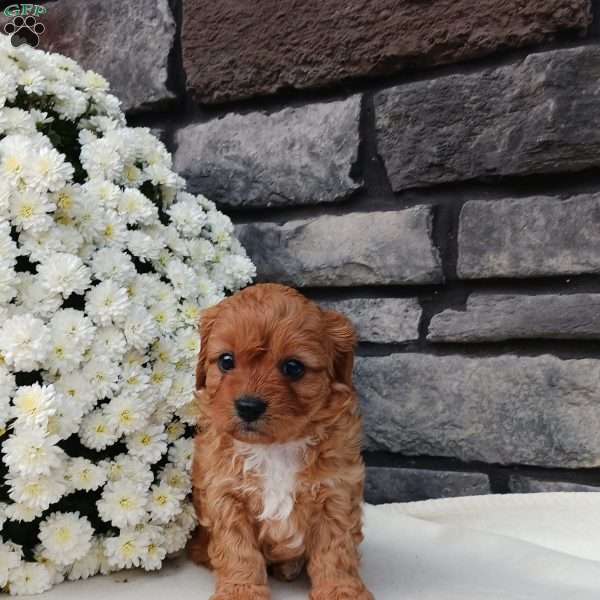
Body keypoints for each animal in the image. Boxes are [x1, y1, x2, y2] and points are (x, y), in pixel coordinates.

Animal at [190, 282, 372, 600]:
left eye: (293, 367)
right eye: (226, 361)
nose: (248, 407)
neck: (274, 448)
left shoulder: (336, 493)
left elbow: (336, 551)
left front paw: (341, 591)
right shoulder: (226, 495)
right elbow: (238, 551)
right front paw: (241, 591)